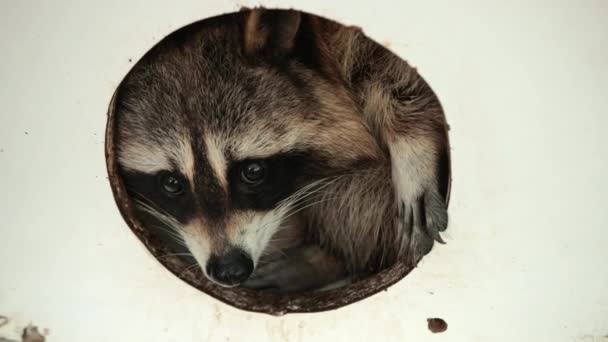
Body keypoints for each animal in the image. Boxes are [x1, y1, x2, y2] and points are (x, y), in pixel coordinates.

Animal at [114, 6, 448, 292]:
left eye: (253, 171)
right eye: (171, 183)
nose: (230, 269)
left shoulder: (340, 38)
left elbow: (388, 65)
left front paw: (414, 145)